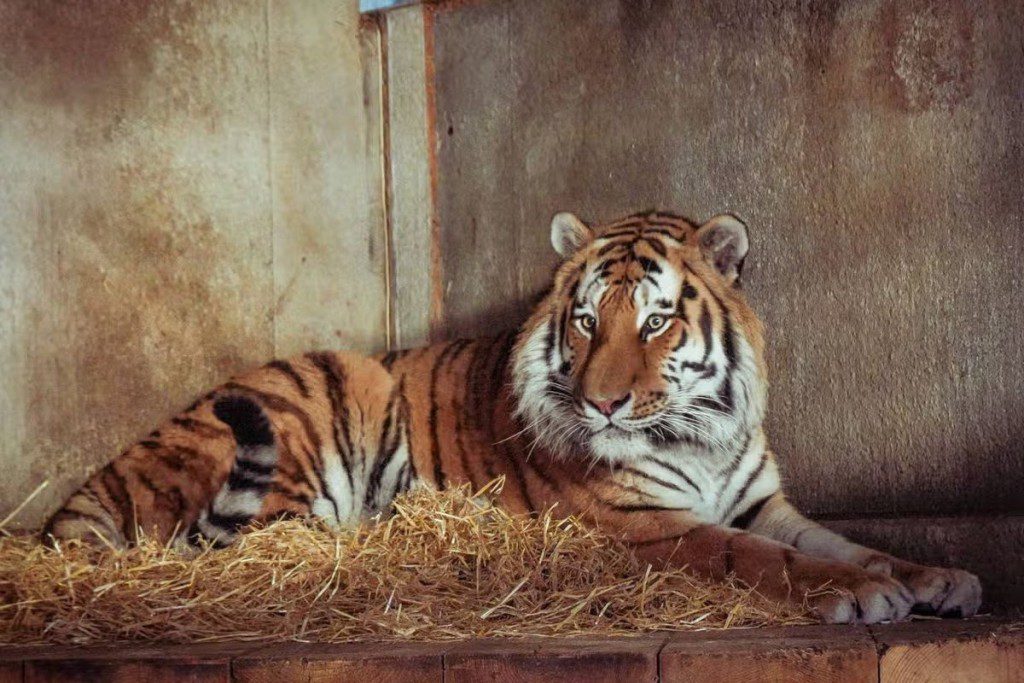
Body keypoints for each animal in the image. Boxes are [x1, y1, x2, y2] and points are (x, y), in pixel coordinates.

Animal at [45, 209, 982, 624]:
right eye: (586, 320)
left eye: (656, 321)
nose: (603, 401)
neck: (701, 435)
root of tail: (100, 479)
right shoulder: (649, 525)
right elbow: (759, 558)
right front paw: (866, 595)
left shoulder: (764, 502)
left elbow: (844, 541)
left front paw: (936, 577)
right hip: (311, 416)